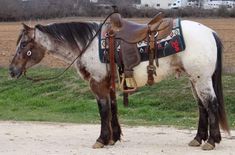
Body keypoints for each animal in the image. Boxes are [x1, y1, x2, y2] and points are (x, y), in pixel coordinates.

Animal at [9, 17, 229, 150]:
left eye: (23, 44)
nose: (11, 70)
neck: (89, 44)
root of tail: (210, 32)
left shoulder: (97, 83)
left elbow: (103, 110)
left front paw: (101, 139)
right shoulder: (109, 83)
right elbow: (113, 107)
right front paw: (113, 138)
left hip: (201, 78)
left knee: (211, 104)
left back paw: (211, 141)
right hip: (194, 79)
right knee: (202, 106)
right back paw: (198, 138)